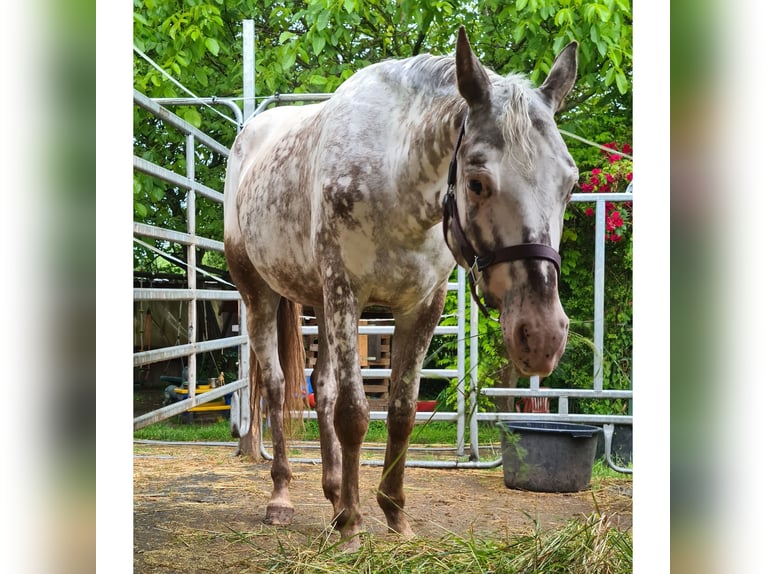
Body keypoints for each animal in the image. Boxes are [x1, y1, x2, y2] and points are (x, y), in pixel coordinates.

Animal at [225, 27, 580, 552]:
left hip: (318, 303)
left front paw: (392, 513)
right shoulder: (346, 293)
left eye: (570, 183)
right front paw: (353, 525)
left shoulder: (420, 306)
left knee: (322, 388)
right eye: (477, 182)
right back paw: (283, 498)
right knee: (276, 387)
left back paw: (334, 493)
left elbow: (400, 411)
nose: (542, 336)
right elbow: (354, 413)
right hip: (260, 294)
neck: (394, 177)